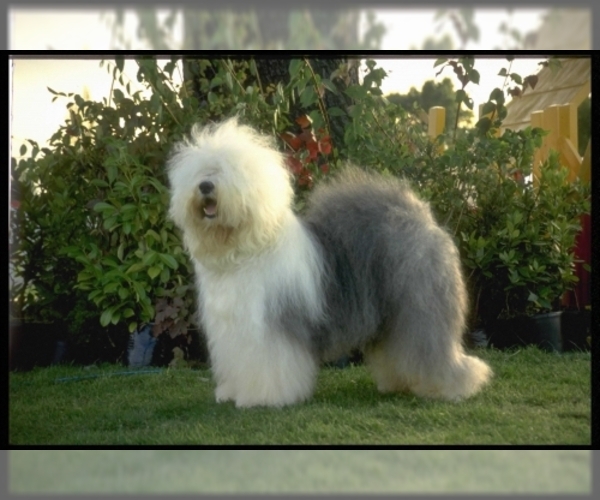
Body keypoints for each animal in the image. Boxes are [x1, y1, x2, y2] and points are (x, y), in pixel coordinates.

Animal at [168, 117, 492, 406]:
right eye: (202, 171)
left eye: (227, 171)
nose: (206, 186)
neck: (243, 249)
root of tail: (419, 215)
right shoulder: (233, 332)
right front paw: (231, 393)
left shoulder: (270, 328)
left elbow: (270, 365)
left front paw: (263, 398)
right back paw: (399, 382)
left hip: (420, 306)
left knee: (432, 349)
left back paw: (454, 386)